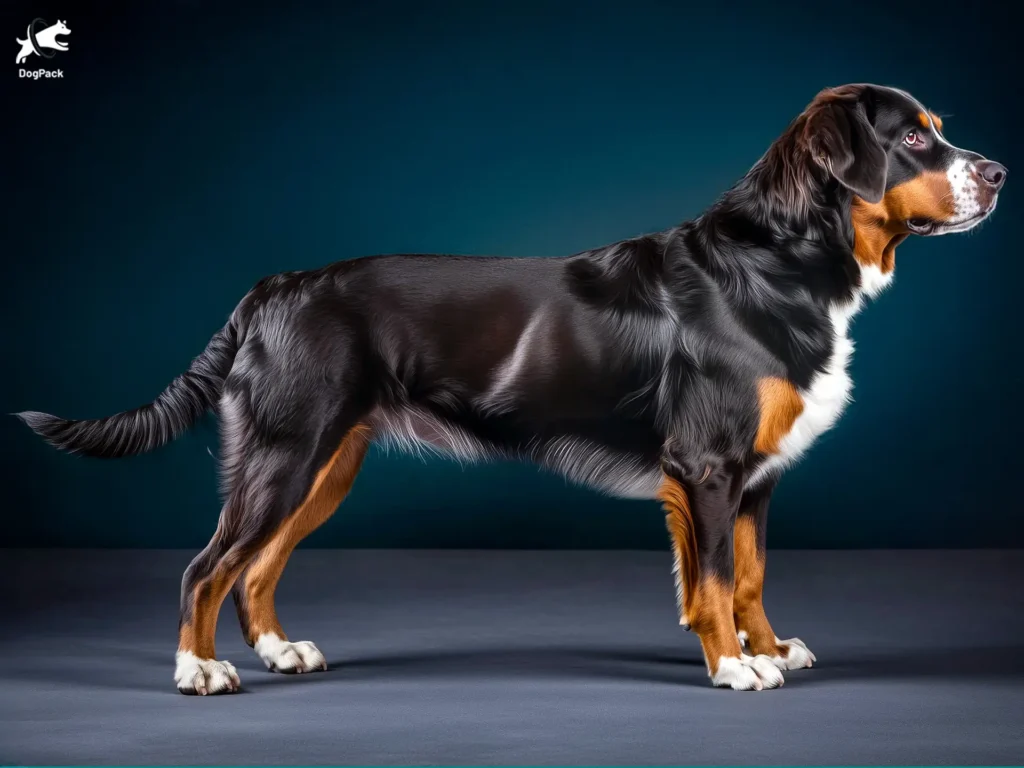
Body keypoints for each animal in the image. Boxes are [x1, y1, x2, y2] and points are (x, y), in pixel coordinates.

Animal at [19, 81, 1003, 696]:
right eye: (914, 136)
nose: (996, 172)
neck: (781, 257)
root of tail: (273, 287)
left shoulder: (756, 475)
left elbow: (751, 577)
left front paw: (770, 649)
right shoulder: (709, 466)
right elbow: (718, 581)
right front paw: (734, 666)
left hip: (328, 463)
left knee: (254, 567)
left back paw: (279, 650)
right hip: (285, 452)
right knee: (207, 566)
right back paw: (199, 671)